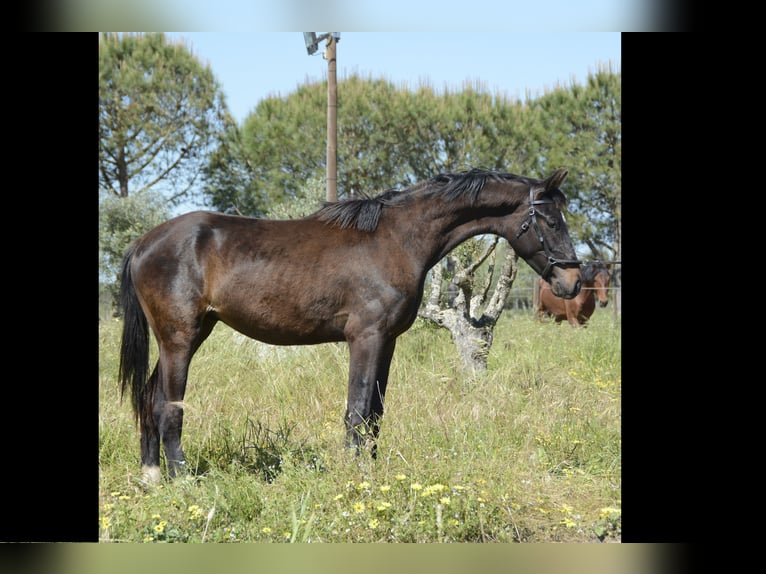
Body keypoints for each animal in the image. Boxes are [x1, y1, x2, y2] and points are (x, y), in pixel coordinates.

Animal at [118, 167, 582, 483]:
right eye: (552, 221)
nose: (573, 282)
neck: (396, 239)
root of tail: (143, 243)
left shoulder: (388, 342)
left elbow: (375, 412)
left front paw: (370, 472)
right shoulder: (366, 337)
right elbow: (357, 410)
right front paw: (354, 475)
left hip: (186, 336)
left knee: (149, 398)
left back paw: (151, 476)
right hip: (180, 338)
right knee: (168, 406)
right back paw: (181, 479)